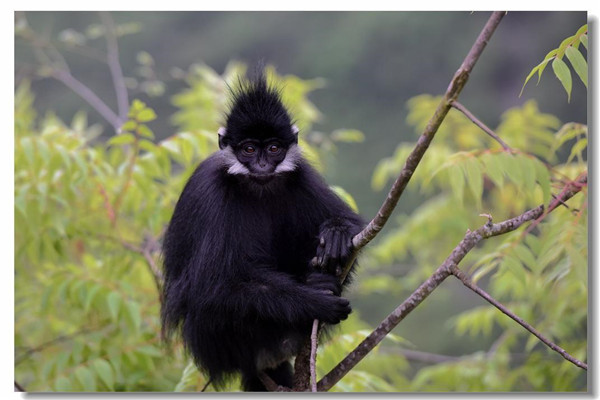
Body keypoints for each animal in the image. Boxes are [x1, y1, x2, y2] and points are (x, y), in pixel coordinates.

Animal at [162, 72, 364, 390]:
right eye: (248, 149)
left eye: (273, 148)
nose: (262, 164)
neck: (258, 186)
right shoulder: (213, 189)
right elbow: (213, 286)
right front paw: (317, 300)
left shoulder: (301, 174)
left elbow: (352, 226)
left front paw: (337, 232)